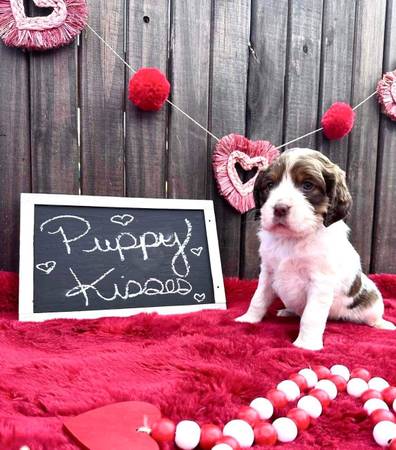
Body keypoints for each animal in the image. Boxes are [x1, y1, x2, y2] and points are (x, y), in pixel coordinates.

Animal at [235, 149, 392, 352]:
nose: (279, 208)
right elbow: (258, 298)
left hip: (372, 300)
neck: (292, 239)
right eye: (270, 185)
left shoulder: (320, 282)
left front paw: (306, 345)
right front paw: (248, 319)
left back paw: (382, 324)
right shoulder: (268, 272)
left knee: (374, 315)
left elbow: (311, 316)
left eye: (307, 185)